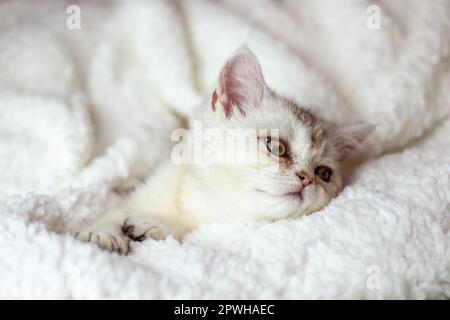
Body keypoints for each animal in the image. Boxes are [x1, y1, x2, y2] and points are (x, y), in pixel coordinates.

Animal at [75, 47, 374, 254]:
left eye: (324, 174)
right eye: (277, 147)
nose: (307, 179)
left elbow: (186, 231)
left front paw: (156, 225)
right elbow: (118, 209)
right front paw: (101, 233)